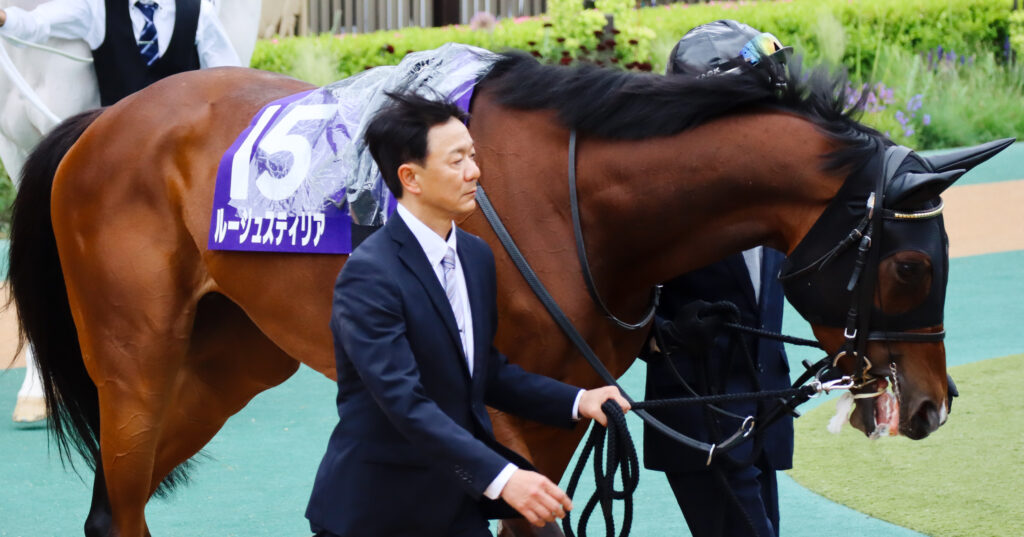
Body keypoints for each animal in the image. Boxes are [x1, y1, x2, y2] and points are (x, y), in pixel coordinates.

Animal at [7, 52, 1010, 536]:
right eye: (912, 266)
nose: (933, 403)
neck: (579, 200)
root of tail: (106, 118)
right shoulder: (502, 415)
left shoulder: (564, 409)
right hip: (135, 361)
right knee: (118, 505)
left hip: (228, 362)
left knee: (117, 505)